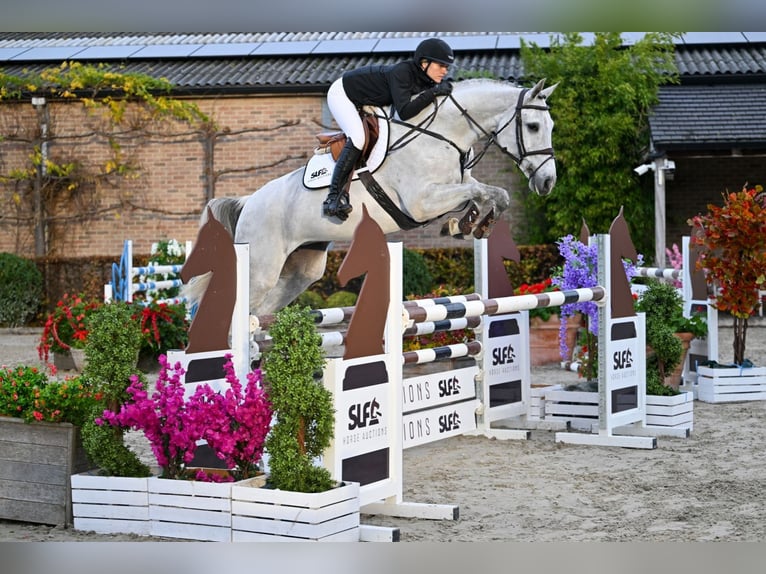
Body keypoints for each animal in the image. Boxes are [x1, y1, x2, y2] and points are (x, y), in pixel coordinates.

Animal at [184, 78, 558, 317]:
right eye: (534, 126)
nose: (548, 182)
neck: (443, 135)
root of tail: (248, 202)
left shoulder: (451, 188)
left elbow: (493, 193)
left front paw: (470, 225)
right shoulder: (422, 202)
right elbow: (481, 191)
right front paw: (469, 223)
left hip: (301, 270)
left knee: (260, 312)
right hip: (261, 268)